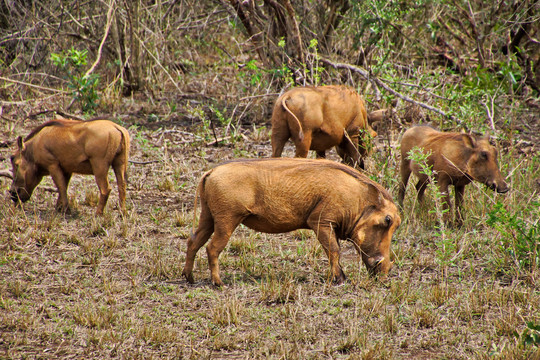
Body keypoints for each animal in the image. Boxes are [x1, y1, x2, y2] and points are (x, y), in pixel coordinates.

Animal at [182, 158, 400, 286]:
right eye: (387, 220)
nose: (384, 274)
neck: (358, 202)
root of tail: (210, 172)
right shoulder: (321, 222)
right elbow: (334, 250)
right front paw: (338, 280)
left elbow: (334, 251)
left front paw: (341, 277)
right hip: (227, 220)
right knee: (212, 248)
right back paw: (218, 283)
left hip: (208, 217)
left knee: (193, 242)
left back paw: (189, 278)